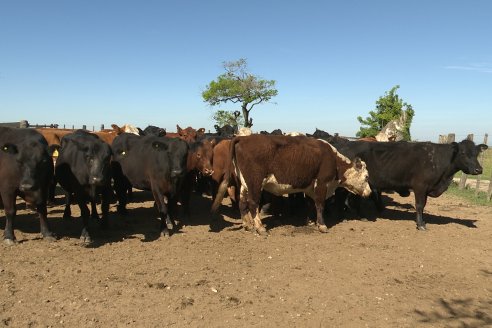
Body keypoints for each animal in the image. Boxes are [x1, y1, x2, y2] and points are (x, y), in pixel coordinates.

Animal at [210, 135, 368, 234]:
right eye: (366, 177)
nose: (369, 192)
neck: (334, 160)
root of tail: (243, 138)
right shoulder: (322, 184)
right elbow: (320, 205)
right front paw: (322, 225)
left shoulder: (310, 187)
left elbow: (310, 204)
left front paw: (311, 221)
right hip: (255, 182)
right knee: (253, 203)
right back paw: (260, 228)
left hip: (244, 184)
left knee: (242, 203)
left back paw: (247, 225)